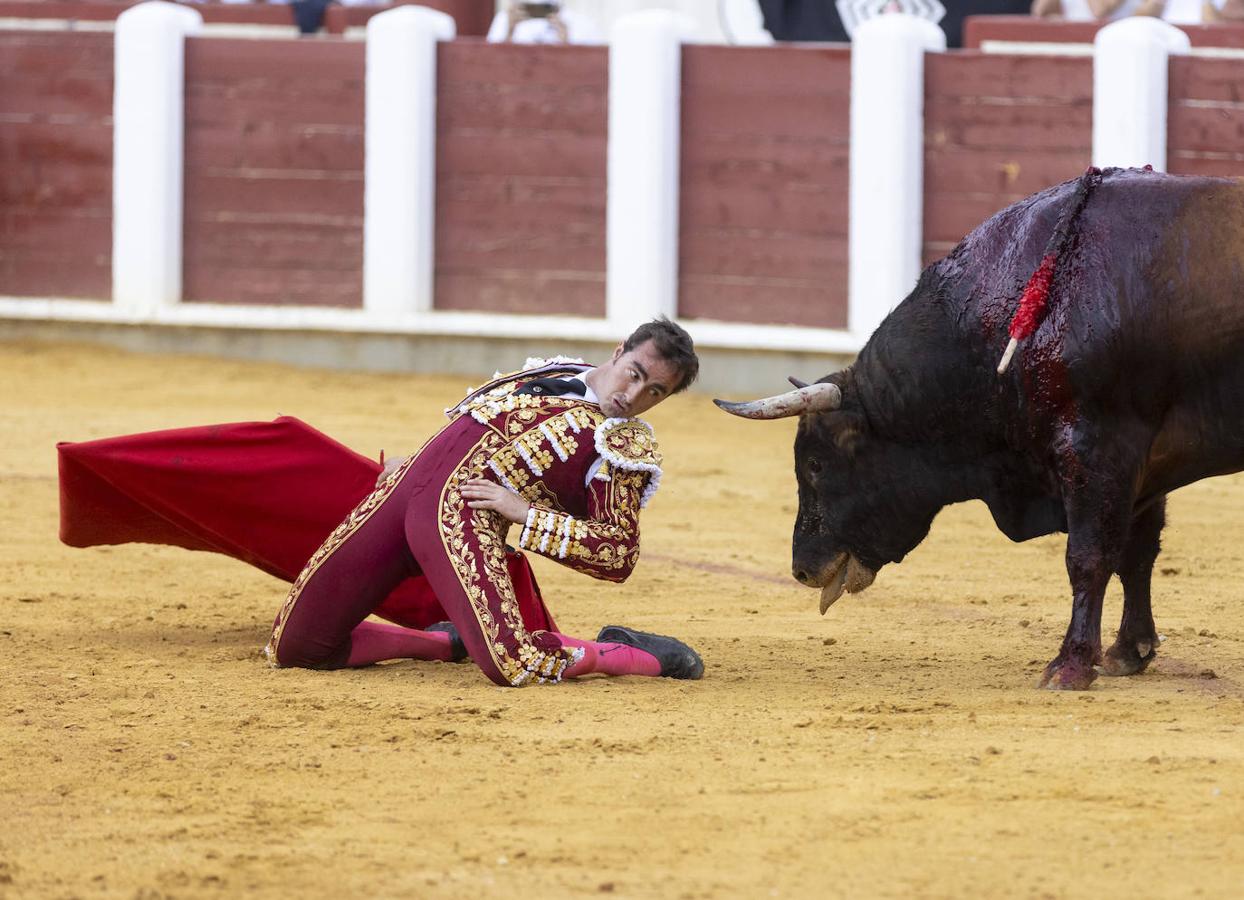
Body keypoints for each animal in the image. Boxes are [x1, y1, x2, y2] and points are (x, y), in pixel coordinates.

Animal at [716, 166, 1244, 692]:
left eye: (816, 464)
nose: (802, 570)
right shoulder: (1146, 466)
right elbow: (1138, 552)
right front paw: (1128, 652)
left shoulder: (1100, 448)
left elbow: (1089, 556)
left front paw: (1069, 666)